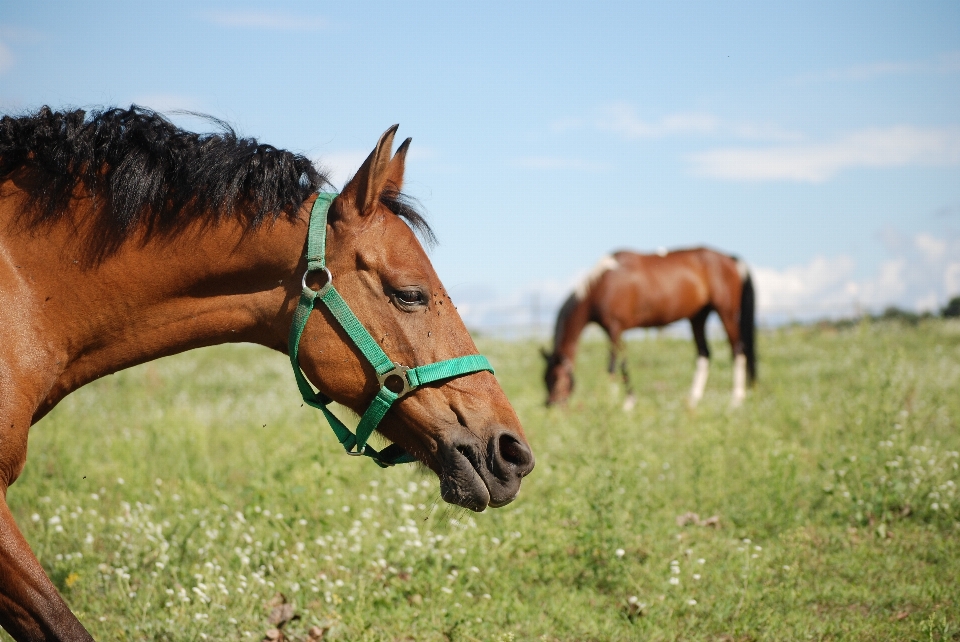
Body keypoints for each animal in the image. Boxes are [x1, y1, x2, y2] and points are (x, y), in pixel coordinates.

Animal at [544, 248, 752, 408]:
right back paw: (693, 400)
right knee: (704, 354)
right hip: (698, 316)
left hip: (726, 311)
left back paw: (736, 401)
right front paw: (628, 401)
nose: (551, 405)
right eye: (544, 379)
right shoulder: (617, 331)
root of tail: (730, 258)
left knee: (737, 350)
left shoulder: (615, 328)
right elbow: (623, 362)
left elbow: (613, 364)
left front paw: (615, 400)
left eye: (556, 379)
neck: (600, 286)